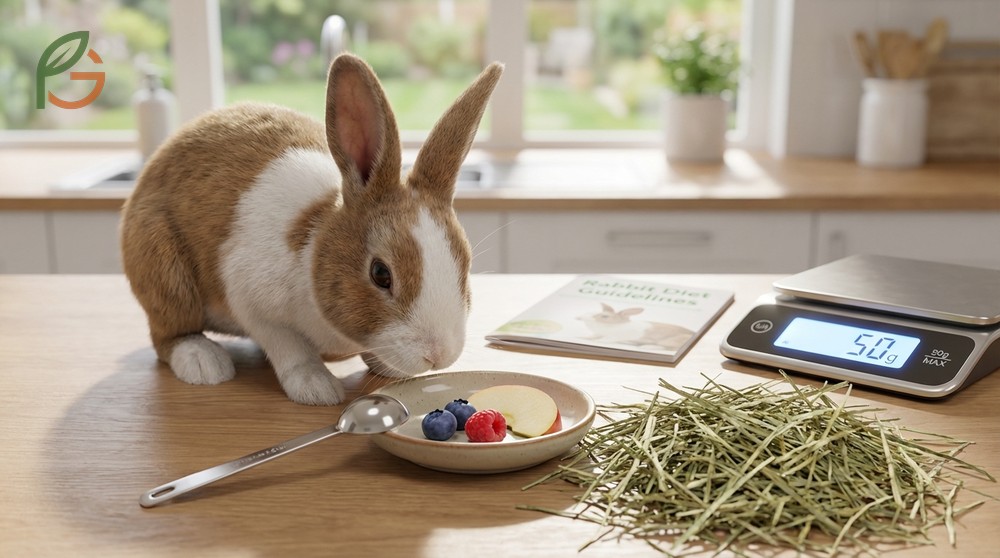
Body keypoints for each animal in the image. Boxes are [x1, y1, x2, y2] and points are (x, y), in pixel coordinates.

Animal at [120, 53, 503, 405]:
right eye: (381, 274)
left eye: (465, 264)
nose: (438, 355)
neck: (314, 250)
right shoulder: (250, 300)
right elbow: (289, 348)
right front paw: (316, 388)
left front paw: (387, 369)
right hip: (165, 275)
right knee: (167, 336)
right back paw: (204, 363)